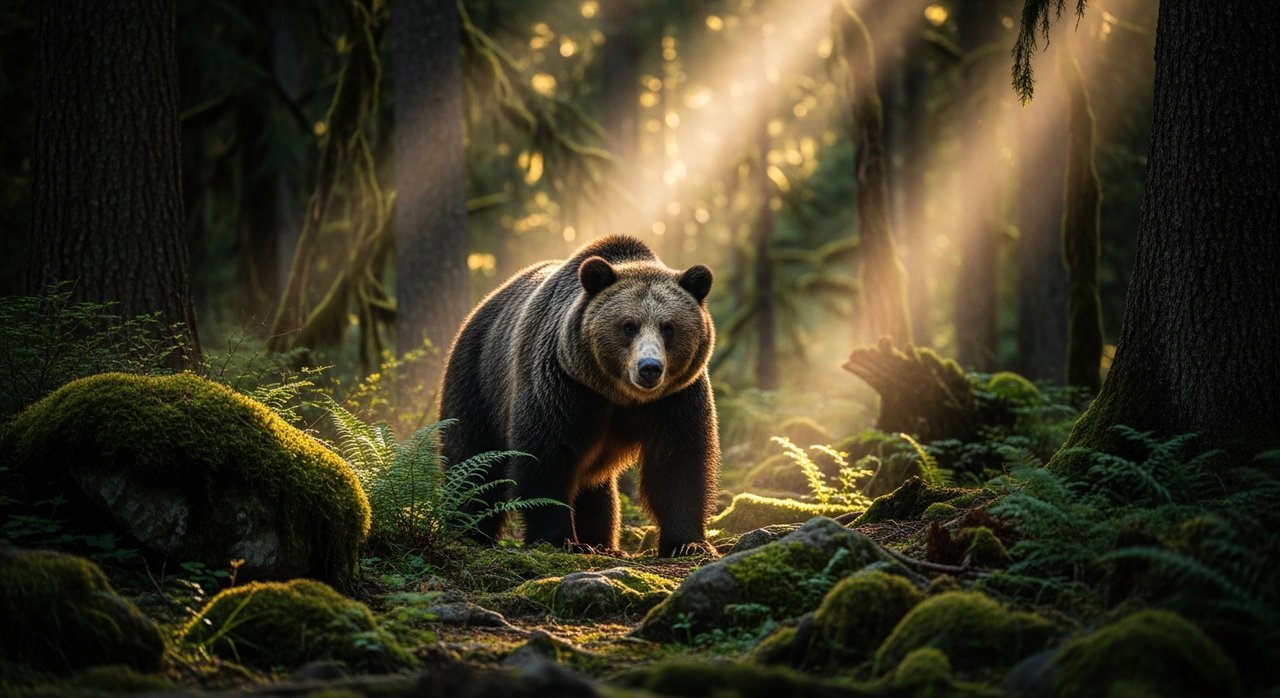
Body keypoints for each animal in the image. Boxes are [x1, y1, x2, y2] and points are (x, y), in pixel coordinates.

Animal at [438, 234, 719, 556]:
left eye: (668, 327)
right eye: (628, 326)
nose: (649, 368)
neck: (618, 394)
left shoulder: (676, 398)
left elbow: (678, 462)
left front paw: (688, 544)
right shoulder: (562, 387)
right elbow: (546, 458)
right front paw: (558, 539)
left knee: (595, 488)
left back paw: (602, 542)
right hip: (477, 382)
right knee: (474, 464)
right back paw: (469, 533)